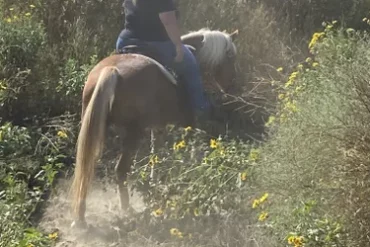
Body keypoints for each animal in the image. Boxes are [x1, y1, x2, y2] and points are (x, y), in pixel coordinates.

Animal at [69, 27, 240, 228]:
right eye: (231, 57)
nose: (231, 87)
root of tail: (111, 71)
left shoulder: (157, 127)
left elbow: (155, 156)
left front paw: (154, 184)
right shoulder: (188, 124)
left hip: (94, 126)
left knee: (86, 166)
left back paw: (80, 218)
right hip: (133, 131)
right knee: (120, 170)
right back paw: (126, 209)